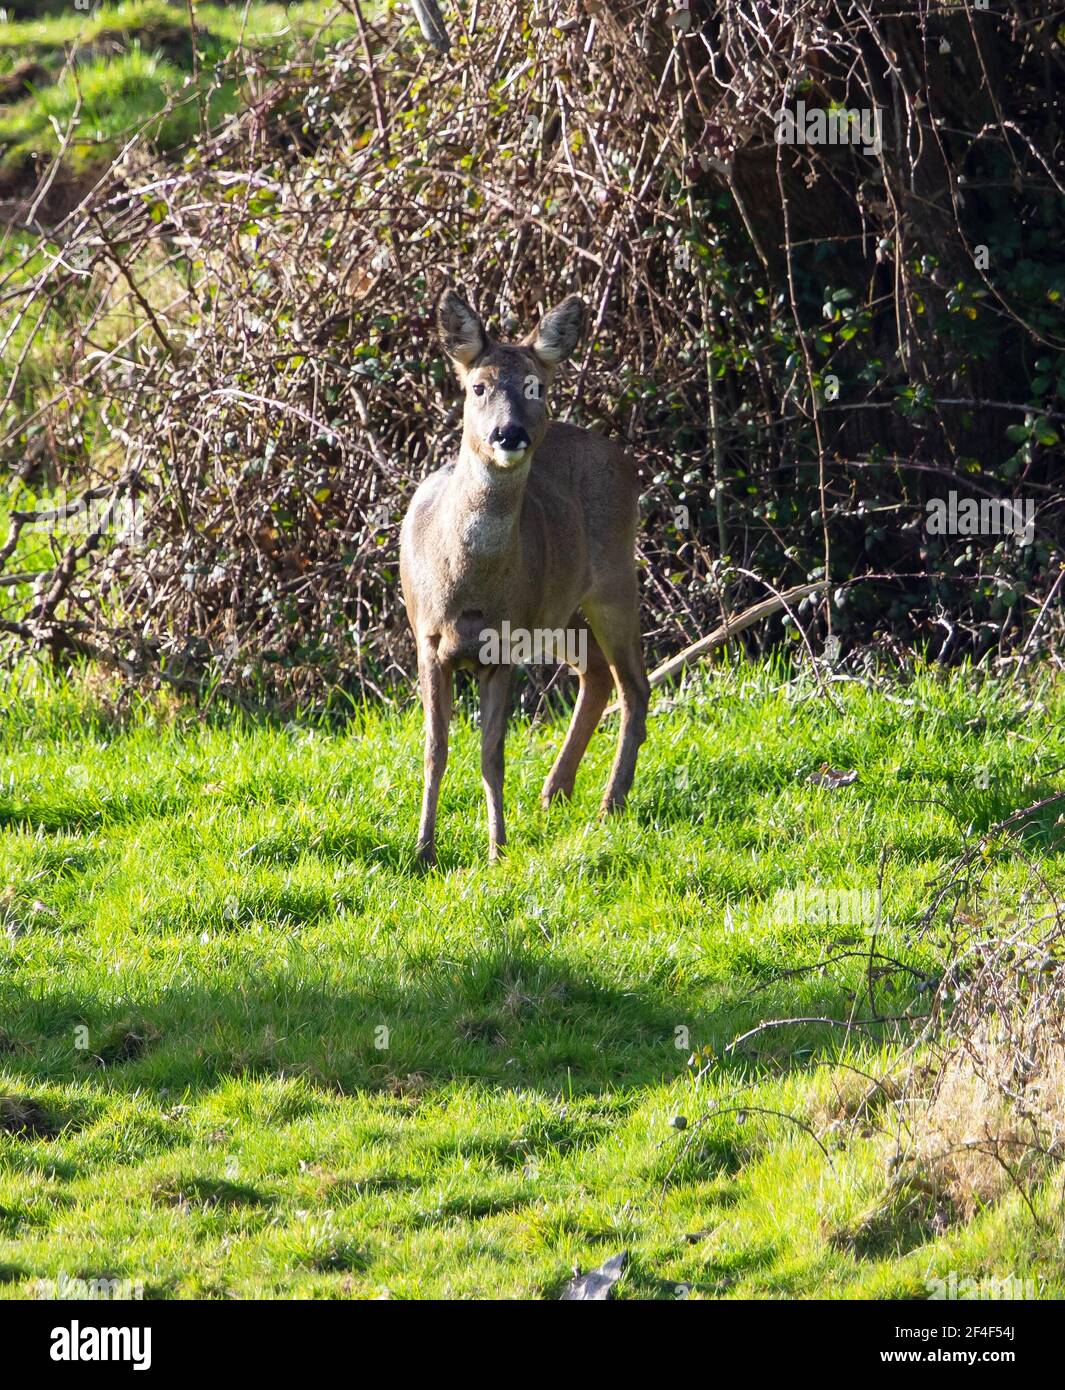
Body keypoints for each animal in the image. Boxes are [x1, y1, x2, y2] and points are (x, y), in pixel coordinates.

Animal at [399, 289, 649, 866]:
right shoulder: (427, 639)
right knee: (597, 675)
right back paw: (556, 790)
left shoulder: (503, 645)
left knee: (634, 683)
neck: (466, 586)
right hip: (559, 612)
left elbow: (492, 754)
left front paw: (496, 848)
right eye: (478, 386)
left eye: (538, 386)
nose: (508, 433)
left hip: (614, 578)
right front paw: (423, 851)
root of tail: (624, 461)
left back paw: (610, 801)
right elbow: (434, 749)